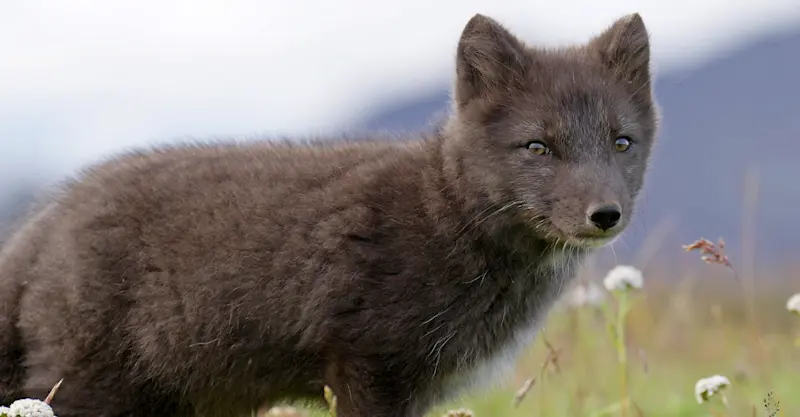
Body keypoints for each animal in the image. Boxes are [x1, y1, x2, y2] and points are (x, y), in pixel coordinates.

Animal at [0, 12, 659, 417]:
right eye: (538, 147)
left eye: (621, 142)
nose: (606, 214)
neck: (446, 217)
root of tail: (43, 221)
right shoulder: (368, 364)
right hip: (92, 389)